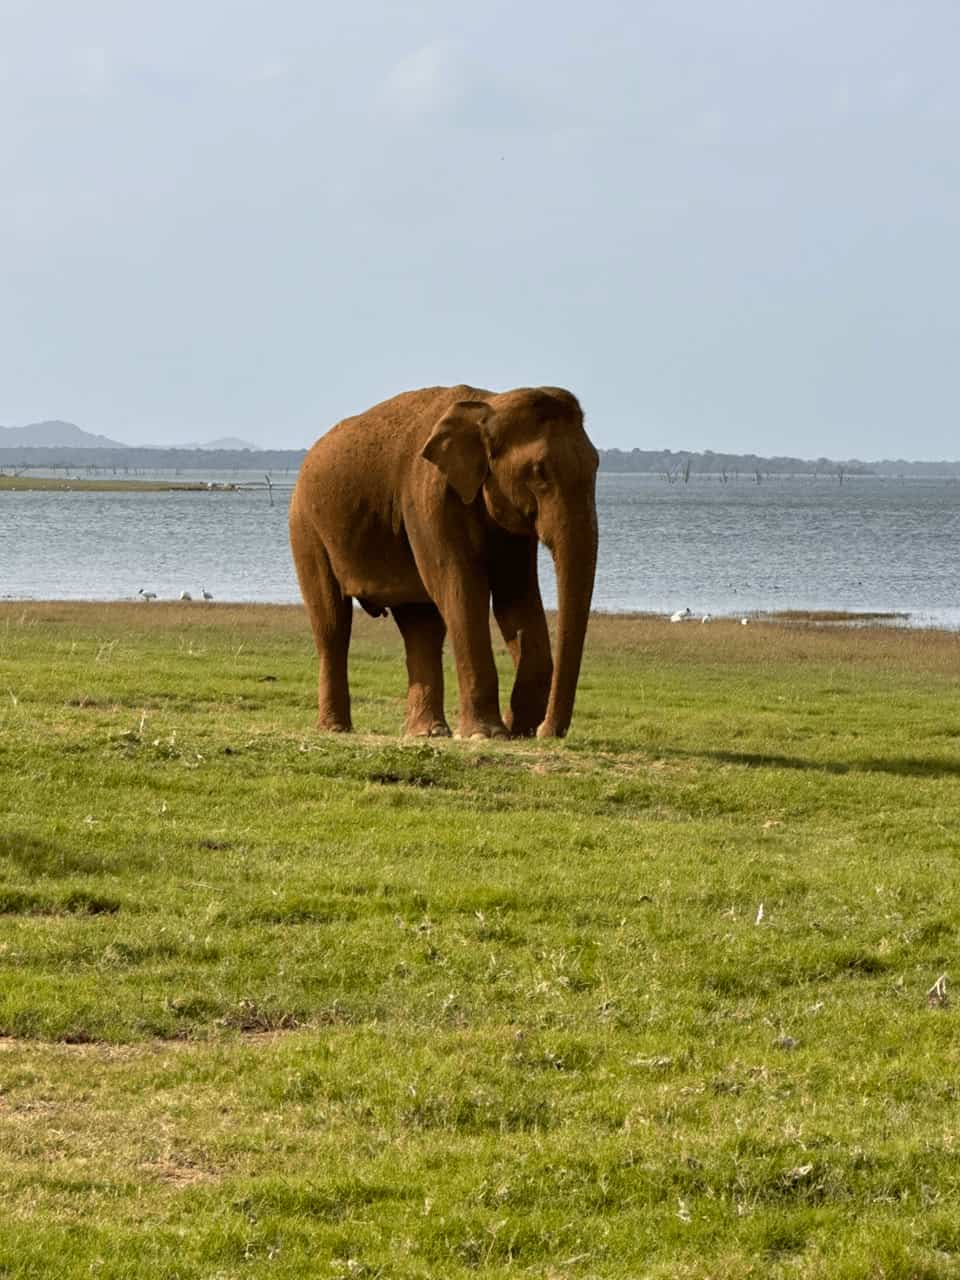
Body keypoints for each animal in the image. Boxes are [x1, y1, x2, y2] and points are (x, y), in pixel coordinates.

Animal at [288, 384, 599, 739]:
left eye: (596, 466)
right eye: (539, 472)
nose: (547, 731)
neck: (488, 404)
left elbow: (517, 598)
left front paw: (518, 730)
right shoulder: (429, 496)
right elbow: (461, 589)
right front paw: (488, 734)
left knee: (421, 627)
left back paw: (428, 732)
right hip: (306, 528)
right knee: (332, 623)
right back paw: (335, 729)